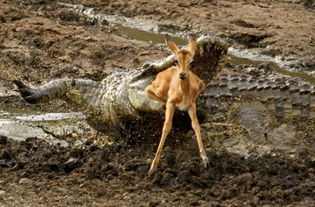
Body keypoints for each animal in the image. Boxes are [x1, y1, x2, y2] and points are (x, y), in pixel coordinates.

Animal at [146, 34, 210, 175]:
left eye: (191, 62)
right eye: (176, 60)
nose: (182, 74)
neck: (183, 93)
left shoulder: (191, 105)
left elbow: (196, 125)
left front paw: (205, 159)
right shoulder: (172, 103)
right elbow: (167, 126)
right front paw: (153, 166)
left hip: (201, 84)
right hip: (159, 89)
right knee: (147, 89)